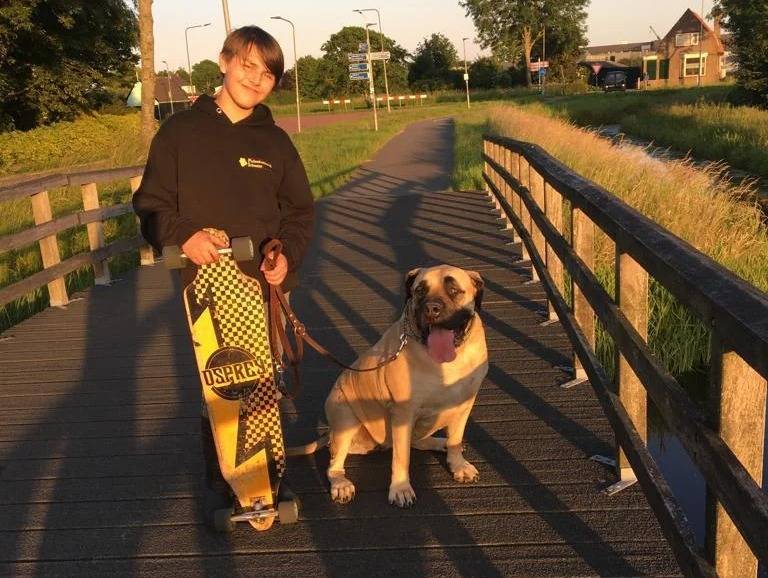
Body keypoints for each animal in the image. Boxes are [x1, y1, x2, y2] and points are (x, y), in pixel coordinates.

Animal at [323, 264, 488, 507]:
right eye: (419, 291)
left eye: (454, 290)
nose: (431, 308)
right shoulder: (403, 412)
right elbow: (401, 457)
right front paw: (401, 488)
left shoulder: (464, 404)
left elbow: (456, 438)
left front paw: (458, 464)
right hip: (345, 417)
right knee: (334, 463)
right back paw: (341, 484)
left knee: (418, 441)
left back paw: (441, 443)